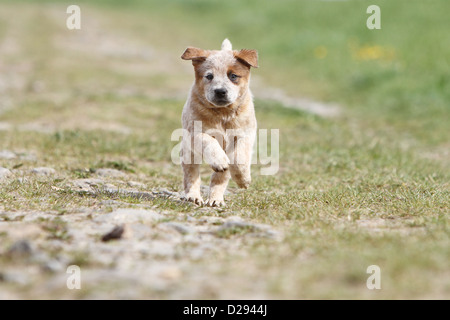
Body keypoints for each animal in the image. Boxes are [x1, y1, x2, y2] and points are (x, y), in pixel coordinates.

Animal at [179, 38, 256, 206]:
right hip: (189, 153)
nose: (220, 91)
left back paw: (216, 199)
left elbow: (239, 157)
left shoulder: (246, 134)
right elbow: (209, 140)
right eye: (209, 76)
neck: (223, 114)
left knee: (220, 178)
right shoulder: (195, 132)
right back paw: (193, 196)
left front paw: (243, 179)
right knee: (191, 175)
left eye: (233, 76)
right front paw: (219, 160)